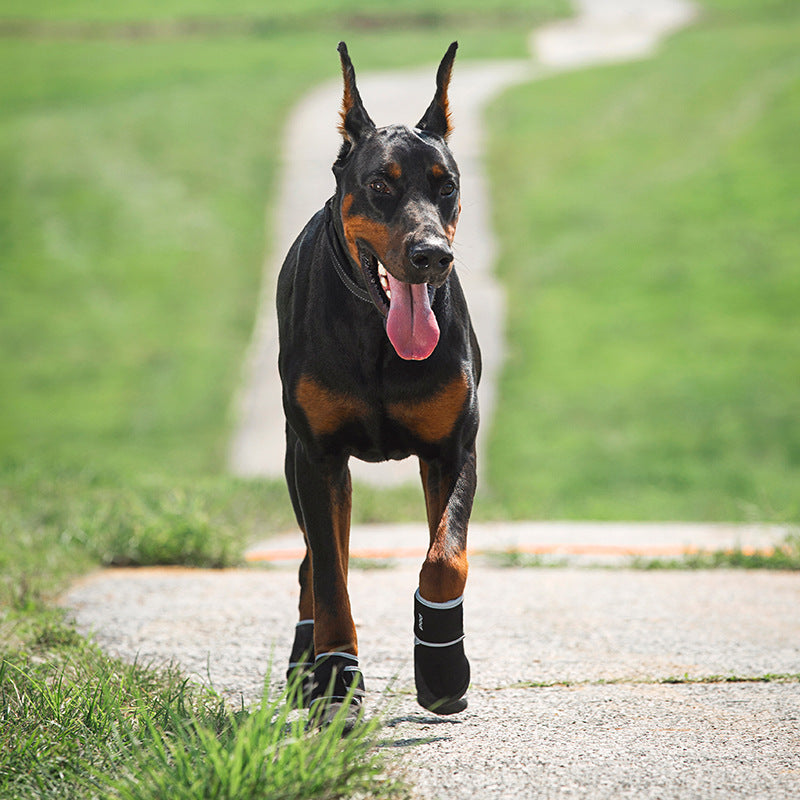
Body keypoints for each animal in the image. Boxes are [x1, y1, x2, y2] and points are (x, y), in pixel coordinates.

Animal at [278, 42, 478, 724]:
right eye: (380, 185)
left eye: (447, 186)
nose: (431, 255)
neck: (375, 335)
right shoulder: (317, 456)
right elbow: (332, 576)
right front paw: (337, 678)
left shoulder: (453, 446)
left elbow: (445, 558)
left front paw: (442, 665)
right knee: (312, 559)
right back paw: (306, 665)